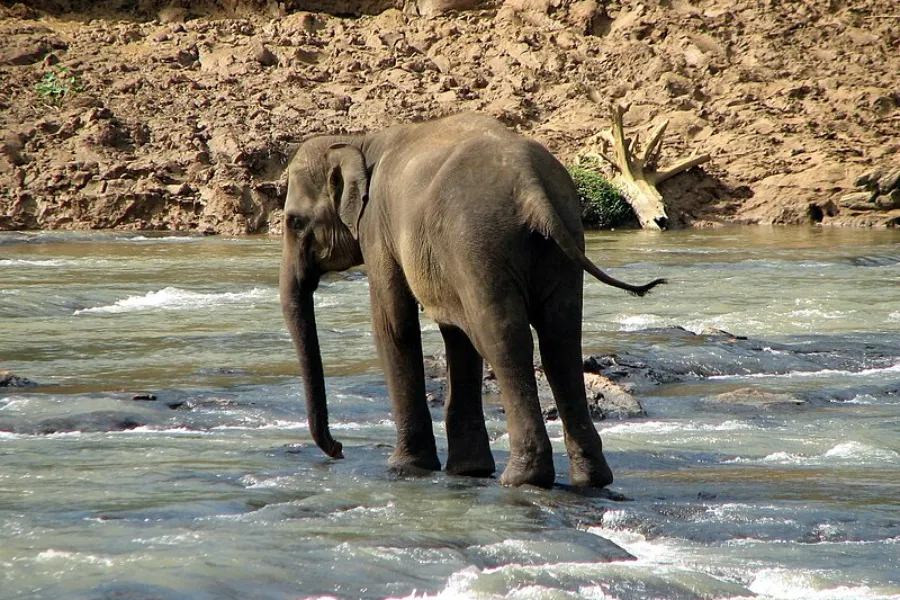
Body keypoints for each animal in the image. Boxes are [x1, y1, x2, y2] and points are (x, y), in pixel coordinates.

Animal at [280, 113, 665, 488]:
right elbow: (456, 334)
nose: (339, 448)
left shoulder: (378, 229)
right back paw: (590, 479)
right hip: (558, 241)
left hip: (480, 242)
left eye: (294, 222)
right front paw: (468, 470)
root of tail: (530, 186)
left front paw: (404, 468)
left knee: (503, 339)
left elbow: (394, 325)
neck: (361, 141)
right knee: (560, 339)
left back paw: (522, 478)